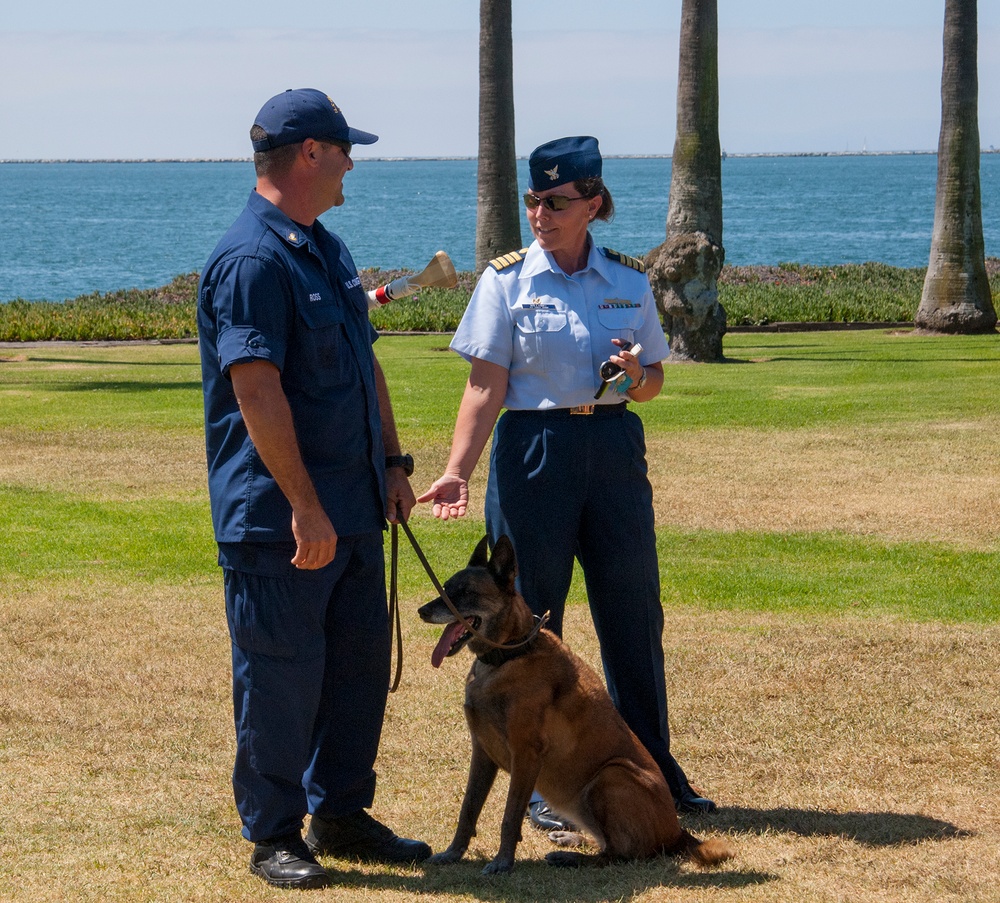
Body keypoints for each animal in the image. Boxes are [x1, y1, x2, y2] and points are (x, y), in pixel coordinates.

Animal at [416, 536, 736, 876]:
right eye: (445, 588)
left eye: (465, 593)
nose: (421, 611)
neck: (511, 655)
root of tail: (678, 832)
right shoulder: (482, 753)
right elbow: (468, 809)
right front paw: (453, 852)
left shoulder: (525, 755)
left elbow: (510, 816)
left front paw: (503, 861)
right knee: (607, 844)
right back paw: (571, 840)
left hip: (610, 774)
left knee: (619, 854)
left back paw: (571, 857)